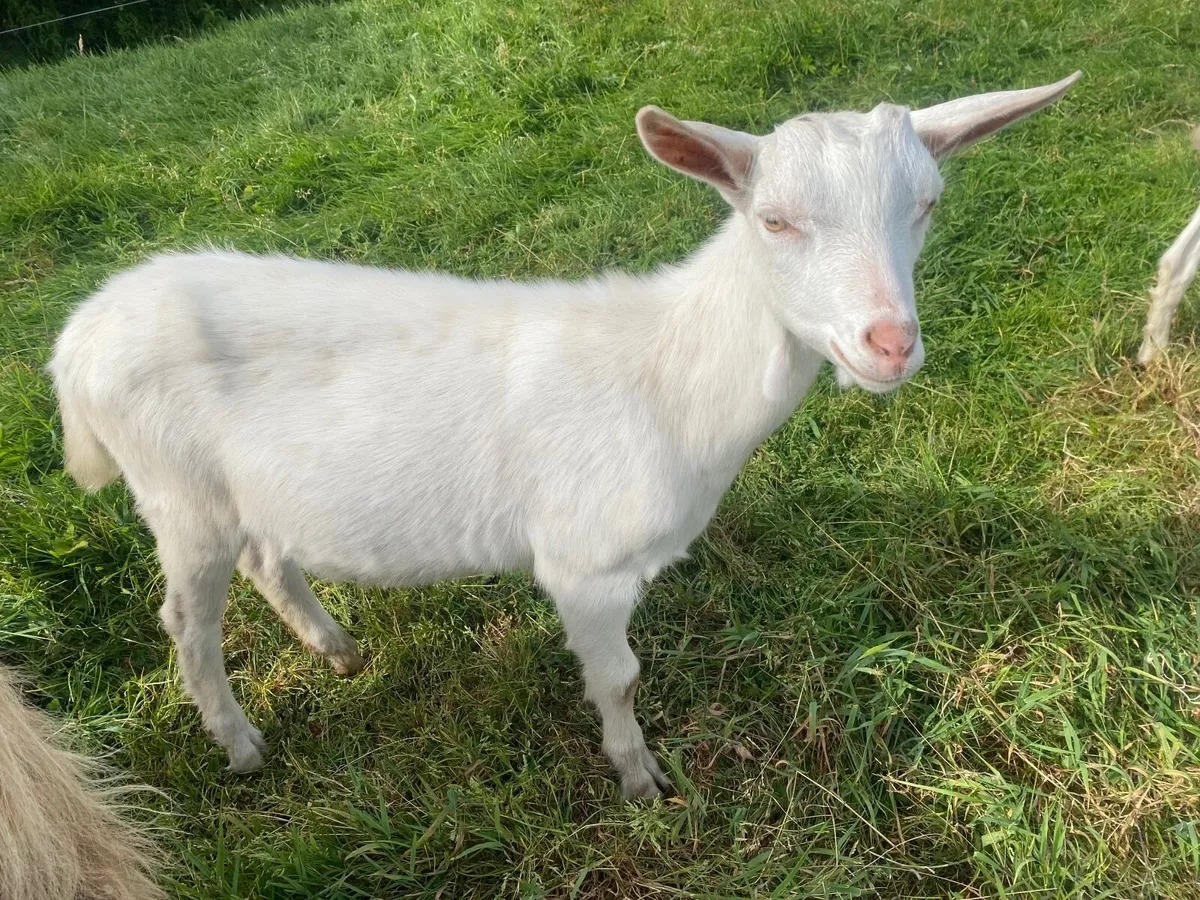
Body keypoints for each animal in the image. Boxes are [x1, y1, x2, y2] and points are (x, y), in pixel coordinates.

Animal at [50, 73, 1079, 799]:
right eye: (774, 219)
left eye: (927, 205)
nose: (889, 345)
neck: (671, 377)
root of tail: (78, 336)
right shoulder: (587, 564)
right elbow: (618, 678)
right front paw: (639, 778)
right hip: (177, 494)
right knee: (188, 623)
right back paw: (242, 746)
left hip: (242, 490)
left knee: (268, 556)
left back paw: (337, 651)